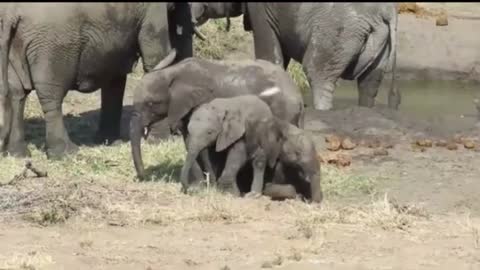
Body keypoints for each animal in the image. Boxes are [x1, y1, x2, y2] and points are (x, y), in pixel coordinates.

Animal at [0, 2, 202, 159]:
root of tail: (11, 12)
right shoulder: (153, 10)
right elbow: (155, 58)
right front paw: (161, 141)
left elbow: (115, 77)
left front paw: (109, 142)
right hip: (52, 43)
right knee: (51, 95)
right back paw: (67, 153)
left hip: (17, 40)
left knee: (17, 92)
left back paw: (18, 154)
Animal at [129, 57, 306, 182]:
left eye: (151, 103)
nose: (144, 176)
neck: (173, 72)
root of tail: (298, 94)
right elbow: (189, 140)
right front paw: (200, 183)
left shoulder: (203, 102)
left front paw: (210, 183)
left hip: (284, 111)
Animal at [180, 95, 322, 202]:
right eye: (188, 130)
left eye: (209, 132)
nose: (187, 190)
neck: (220, 107)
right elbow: (212, 157)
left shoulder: (242, 131)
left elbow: (237, 155)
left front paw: (231, 193)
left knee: (259, 161)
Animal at [189, 2, 400, 111]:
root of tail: (387, 12)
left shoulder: (261, 10)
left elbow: (270, 54)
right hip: (379, 40)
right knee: (369, 82)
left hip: (338, 31)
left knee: (317, 72)